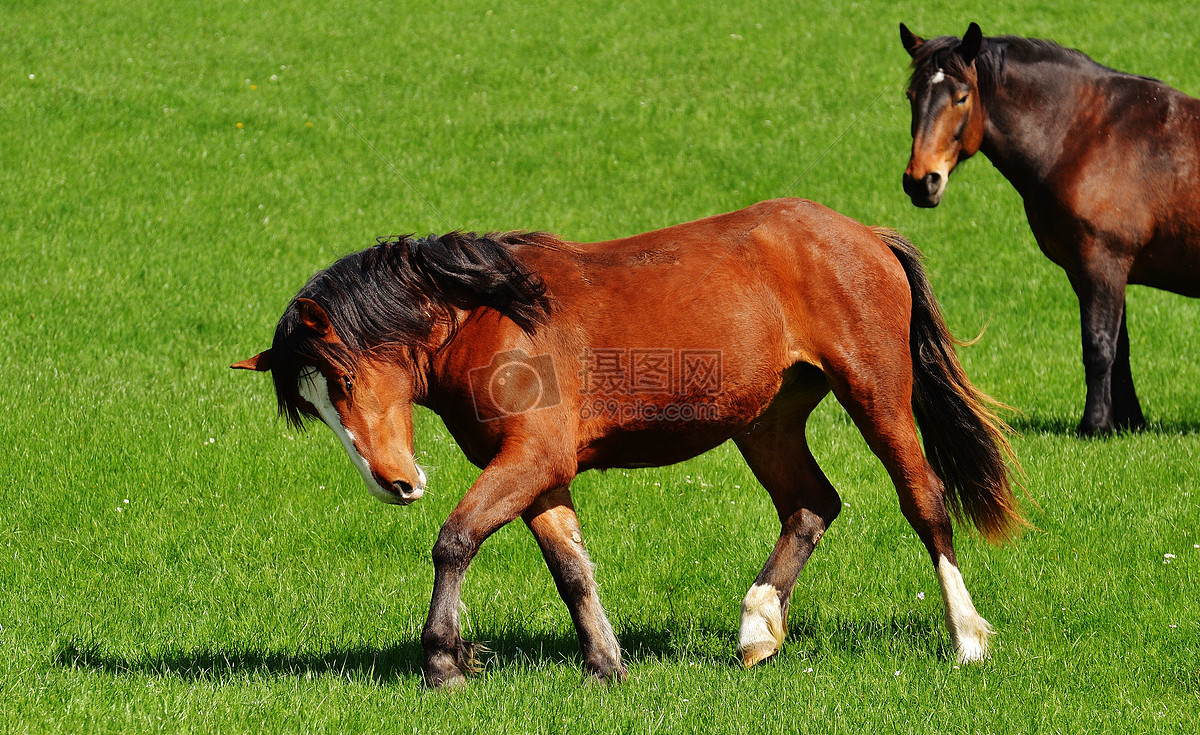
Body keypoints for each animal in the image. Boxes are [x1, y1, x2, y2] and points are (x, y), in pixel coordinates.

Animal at [229, 198, 1017, 686]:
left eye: (345, 379)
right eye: (314, 407)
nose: (396, 483)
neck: (490, 315)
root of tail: (865, 233)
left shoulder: (531, 459)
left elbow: (455, 540)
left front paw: (443, 662)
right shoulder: (540, 475)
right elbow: (572, 570)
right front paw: (606, 664)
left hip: (876, 395)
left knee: (925, 501)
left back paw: (967, 638)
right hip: (766, 420)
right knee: (811, 504)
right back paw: (758, 628)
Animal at [902, 22, 1200, 437]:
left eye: (961, 97)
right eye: (912, 96)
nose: (921, 181)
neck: (1085, 133)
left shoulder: (1103, 263)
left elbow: (1099, 346)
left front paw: (1094, 425)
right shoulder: (1089, 271)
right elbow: (1120, 349)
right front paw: (1128, 422)